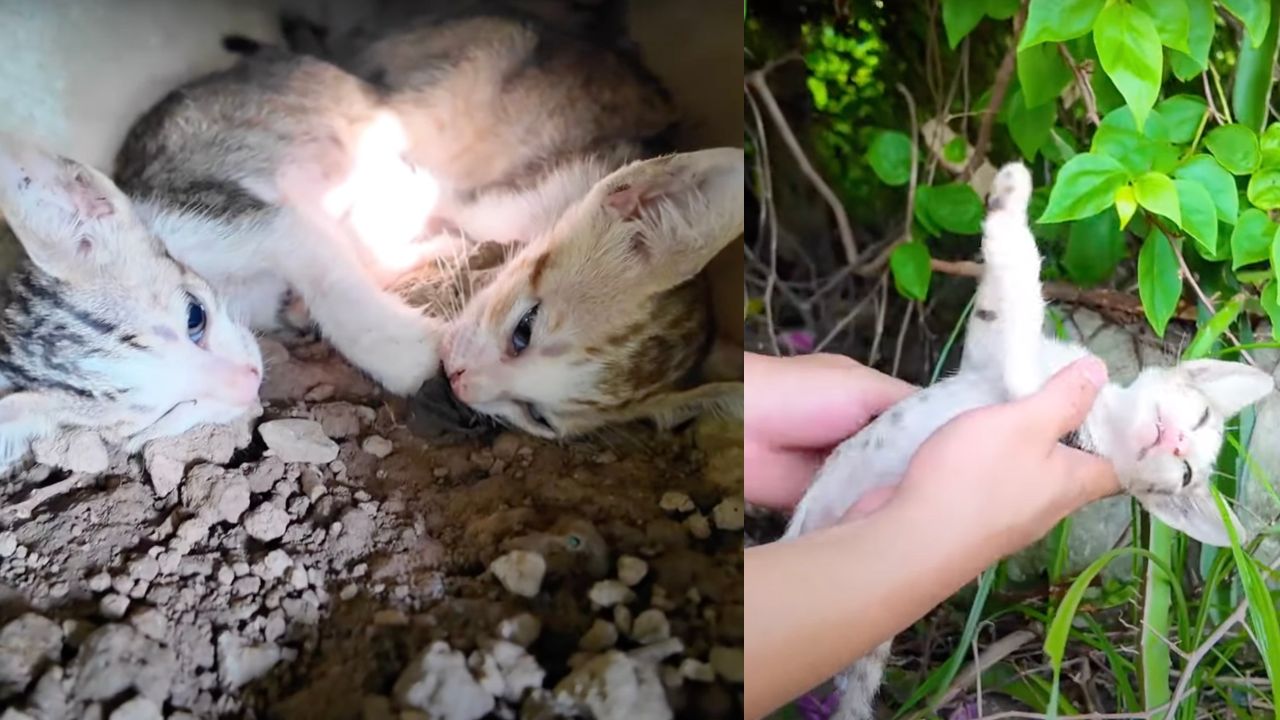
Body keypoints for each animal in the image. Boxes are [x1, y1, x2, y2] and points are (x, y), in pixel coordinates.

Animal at [783, 162, 1274, 717]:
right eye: (1201, 416)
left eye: (1187, 473)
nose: (1174, 443)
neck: (1101, 416)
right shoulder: (988, 357)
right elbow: (1004, 302)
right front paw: (1009, 194)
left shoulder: (1024, 384)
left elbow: (1024, 286)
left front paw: (1010, 202)